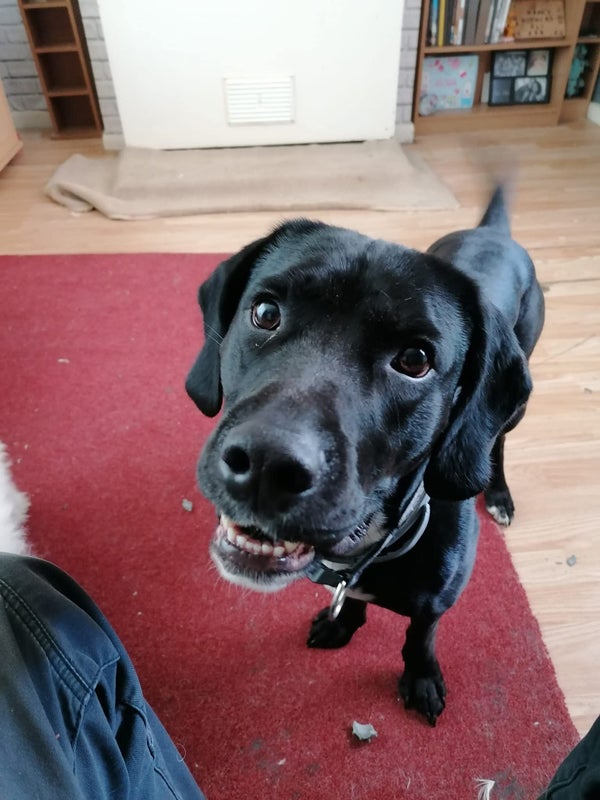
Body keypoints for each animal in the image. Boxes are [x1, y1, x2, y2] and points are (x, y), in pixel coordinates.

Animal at [186, 185, 544, 724]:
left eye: (415, 360)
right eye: (265, 313)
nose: (267, 463)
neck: (370, 541)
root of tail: (493, 233)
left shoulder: (436, 604)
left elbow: (419, 636)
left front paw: (421, 678)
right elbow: (353, 599)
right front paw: (343, 623)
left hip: (516, 400)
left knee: (496, 442)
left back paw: (498, 492)